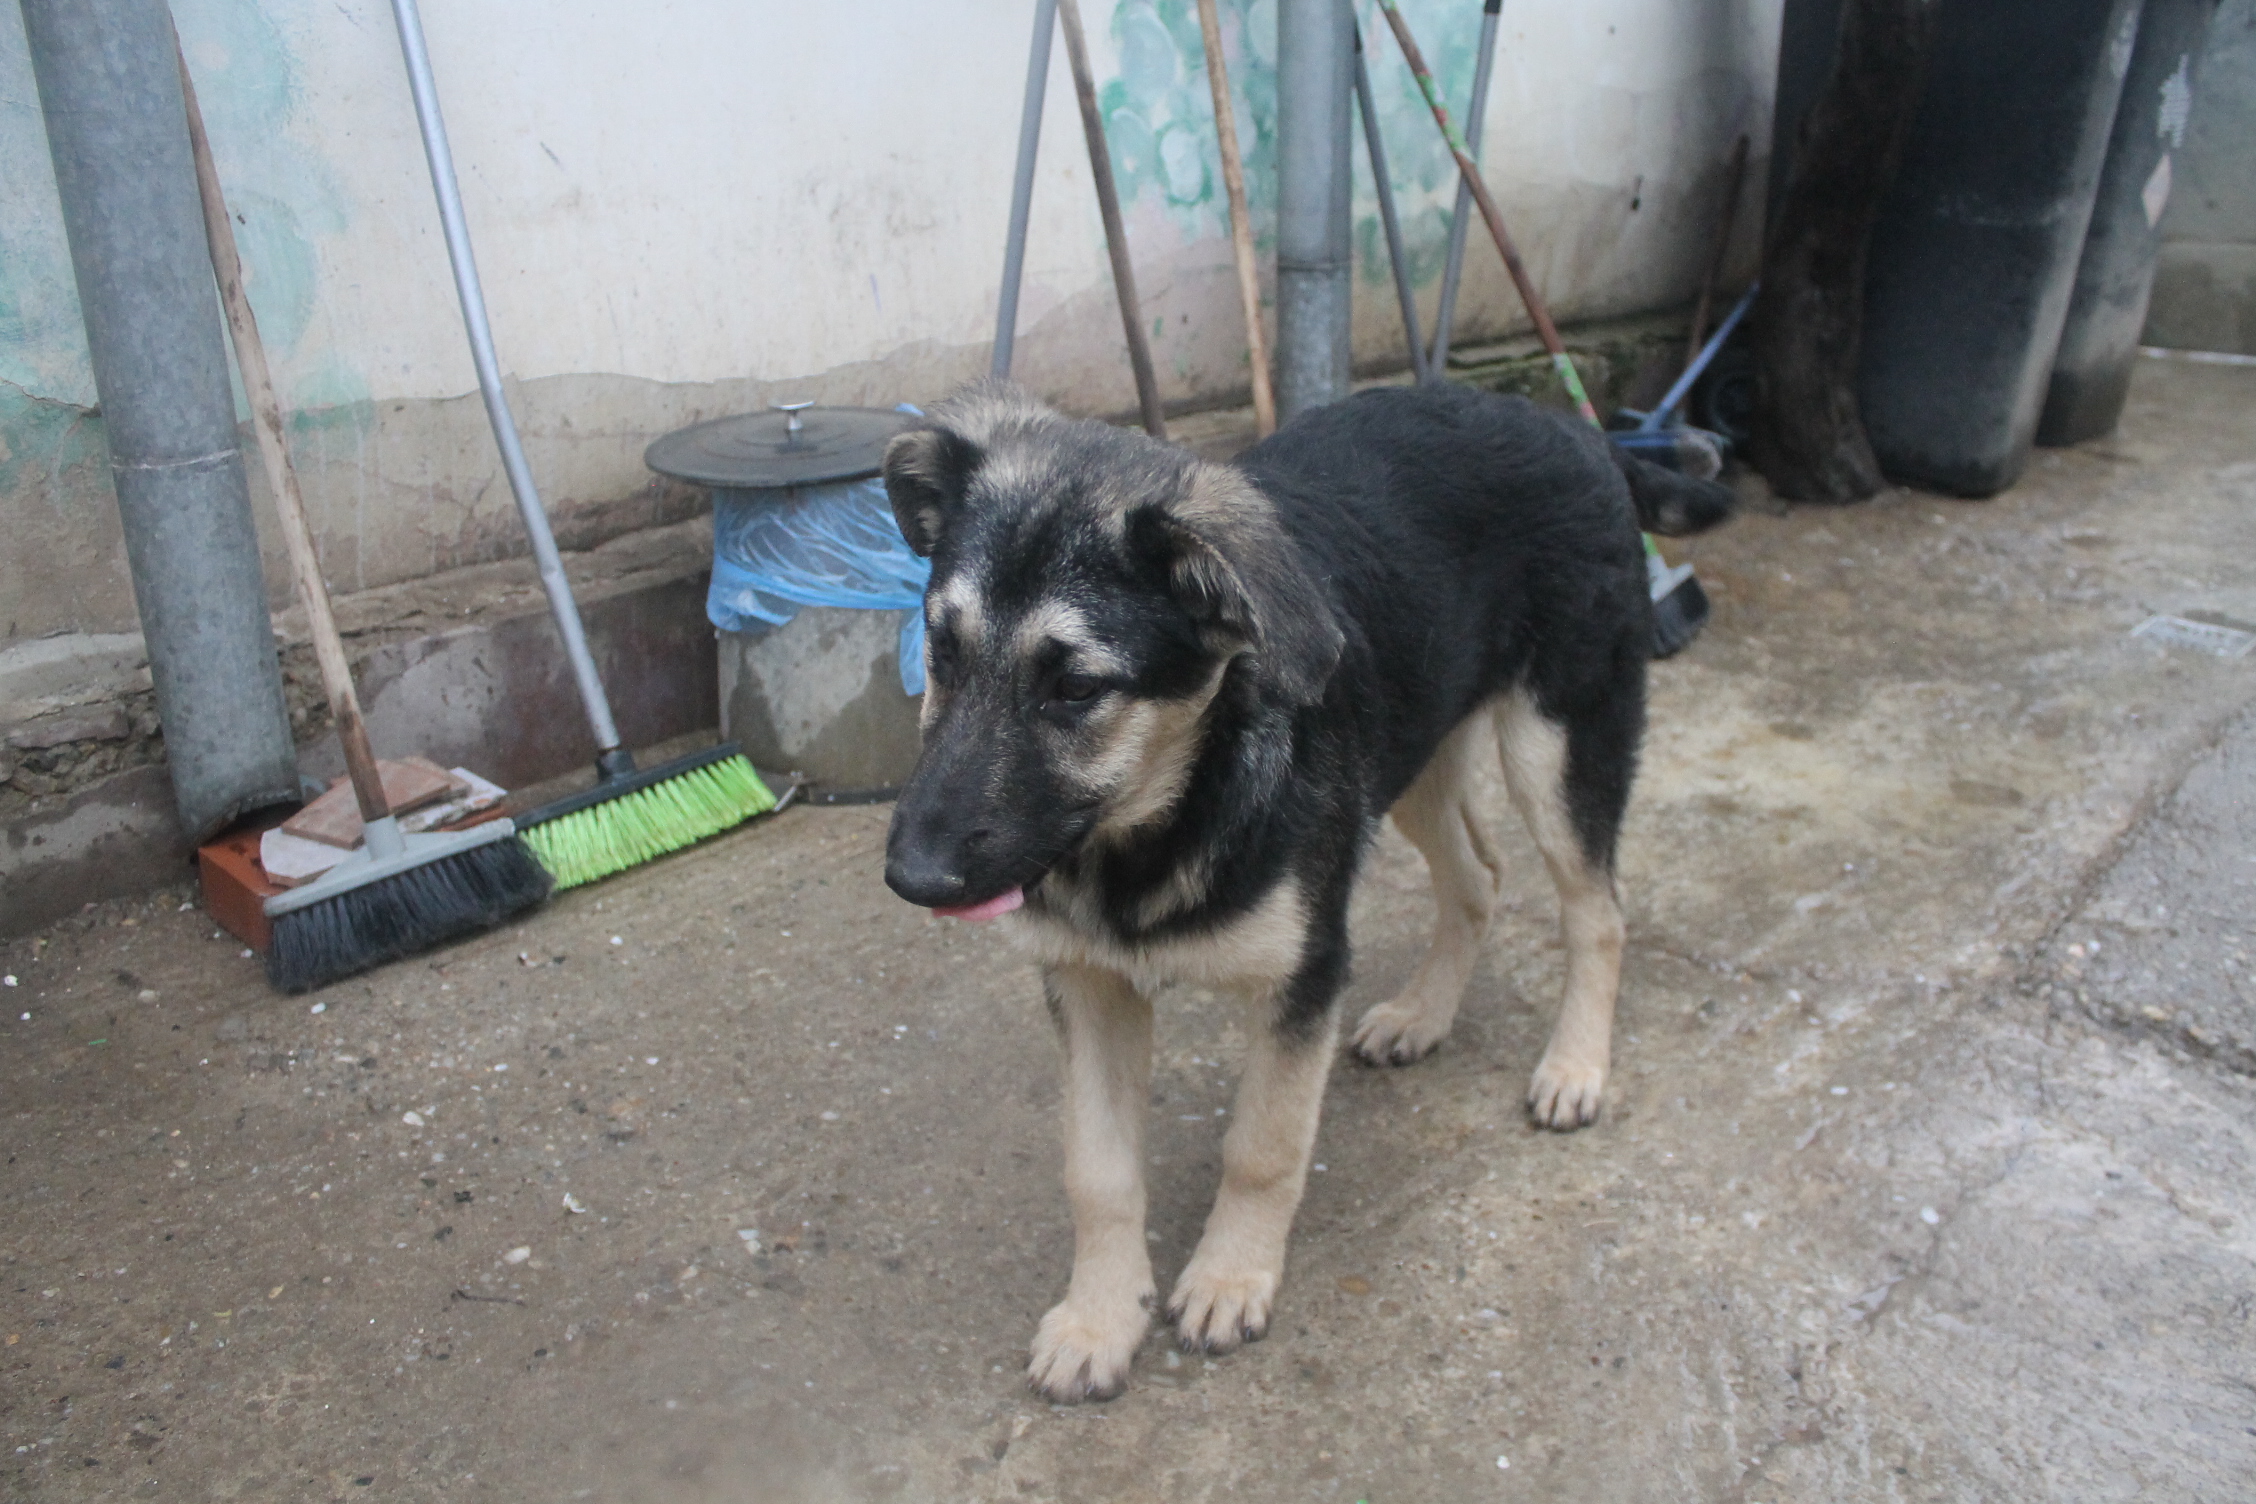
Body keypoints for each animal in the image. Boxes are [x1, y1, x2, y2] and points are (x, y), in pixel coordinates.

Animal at [879, 378, 1732, 1403]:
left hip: (1557, 739)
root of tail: (1568, 424)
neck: (1163, 817)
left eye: (1076, 688)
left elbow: (1263, 1146)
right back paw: (1422, 1015)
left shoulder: (1307, 969)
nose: (912, 877)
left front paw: (1229, 1275)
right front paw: (1099, 1318)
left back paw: (1575, 1068)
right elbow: (1097, 1169)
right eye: (941, 651)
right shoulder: (1089, 984)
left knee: (1597, 910)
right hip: (1414, 752)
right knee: (1479, 876)